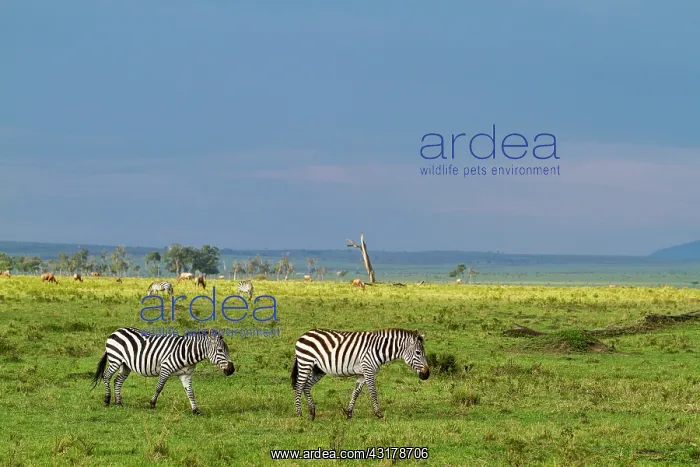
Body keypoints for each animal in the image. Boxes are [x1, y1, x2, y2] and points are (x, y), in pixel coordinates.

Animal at [91, 327, 235, 415]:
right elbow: (159, 387)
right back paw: (107, 400)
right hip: (115, 359)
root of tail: (116, 331)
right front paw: (152, 404)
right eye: (220, 350)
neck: (187, 352)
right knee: (106, 376)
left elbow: (190, 393)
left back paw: (118, 403)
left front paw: (196, 410)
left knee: (117, 381)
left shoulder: (186, 374)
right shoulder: (166, 368)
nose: (232, 370)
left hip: (125, 365)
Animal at [291, 328, 430, 421]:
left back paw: (312, 413)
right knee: (299, 386)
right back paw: (298, 414)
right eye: (418, 353)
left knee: (306, 386)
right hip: (305, 362)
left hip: (318, 369)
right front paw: (378, 413)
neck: (379, 349)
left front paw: (349, 413)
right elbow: (373, 392)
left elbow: (356, 393)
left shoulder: (362, 374)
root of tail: (305, 333)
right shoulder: (368, 369)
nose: (427, 374)